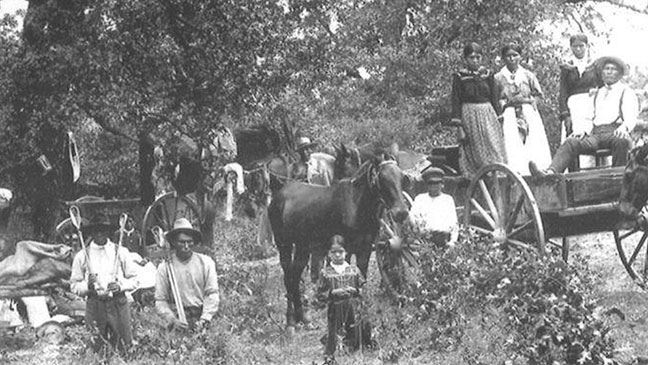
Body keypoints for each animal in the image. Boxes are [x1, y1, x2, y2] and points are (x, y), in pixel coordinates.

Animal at [268, 155, 408, 326]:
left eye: (401, 177)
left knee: (294, 278)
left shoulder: (365, 249)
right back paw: (290, 322)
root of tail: (278, 196)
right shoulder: (344, 250)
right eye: (382, 178)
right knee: (288, 279)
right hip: (284, 245)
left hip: (302, 247)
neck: (356, 205)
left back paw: (303, 318)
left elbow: (361, 281)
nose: (401, 212)